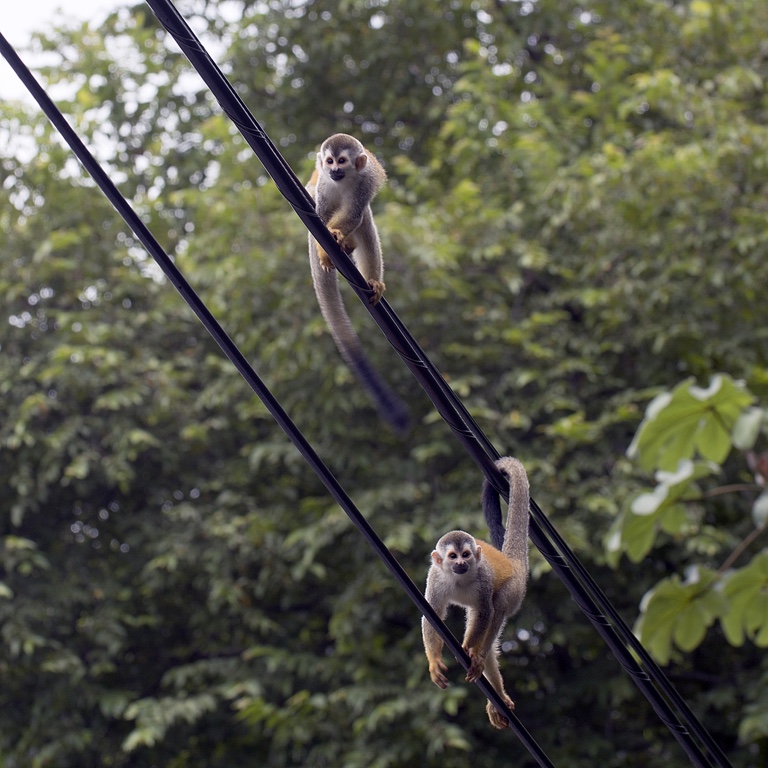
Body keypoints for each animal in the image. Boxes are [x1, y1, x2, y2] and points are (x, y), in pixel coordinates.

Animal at [304, 133, 412, 432]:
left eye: (342, 161)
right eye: (330, 161)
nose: (333, 170)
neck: (342, 181)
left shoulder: (363, 184)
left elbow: (354, 214)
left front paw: (338, 234)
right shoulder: (323, 188)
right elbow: (321, 216)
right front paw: (324, 251)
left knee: (364, 219)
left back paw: (369, 274)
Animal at [424, 460, 532, 728]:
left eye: (466, 555)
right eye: (453, 556)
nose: (461, 563)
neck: (458, 578)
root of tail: (513, 563)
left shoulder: (483, 576)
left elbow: (486, 612)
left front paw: (470, 650)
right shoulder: (435, 576)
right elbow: (433, 615)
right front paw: (434, 662)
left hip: (515, 589)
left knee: (497, 609)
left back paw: (481, 659)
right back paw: (497, 692)